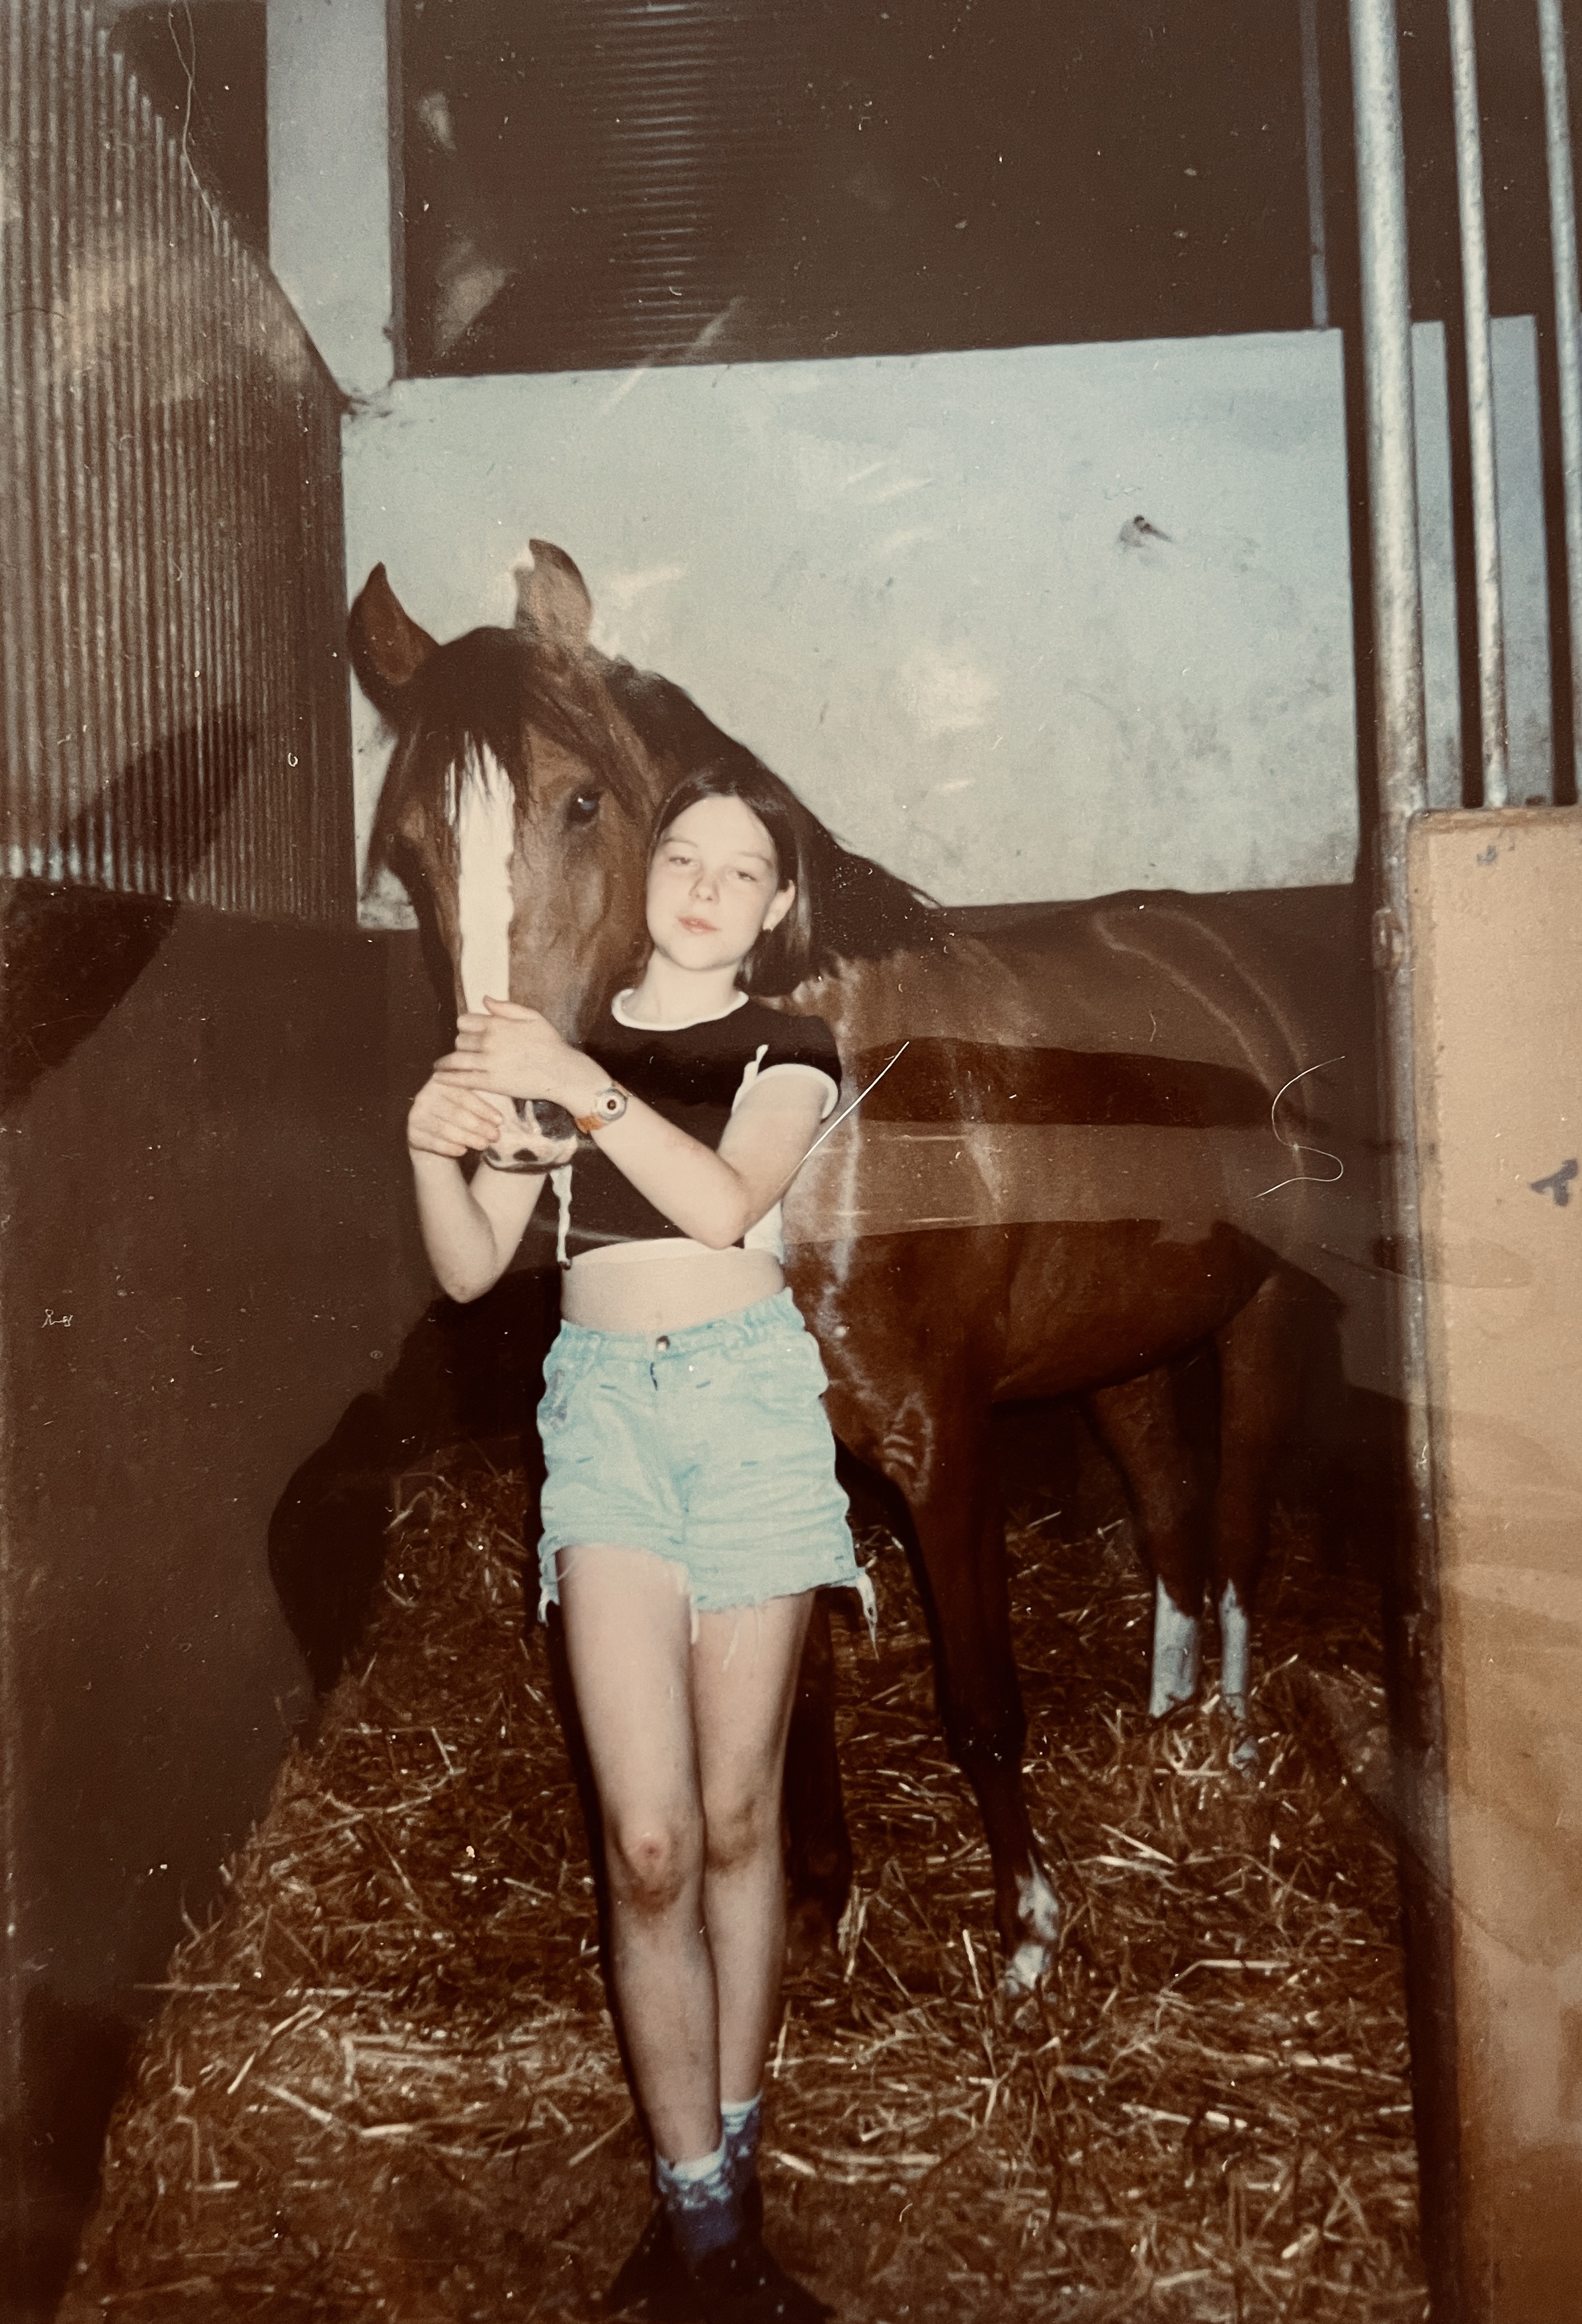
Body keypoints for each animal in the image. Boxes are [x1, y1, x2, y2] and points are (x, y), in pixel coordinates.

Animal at [348, 540, 1342, 1995]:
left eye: (580, 799)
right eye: (411, 844)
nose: (502, 1121)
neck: (825, 1122)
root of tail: (1231, 963)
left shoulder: (942, 1445)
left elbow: (978, 1698)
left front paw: (1027, 1932)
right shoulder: (783, 1448)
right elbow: (790, 1696)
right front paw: (816, 1901)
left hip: (1261, 1326)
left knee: (1234, 1535)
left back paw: (1225, 1740)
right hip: (1123, 1353)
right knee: (1166, 1515)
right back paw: (1165, 1716)